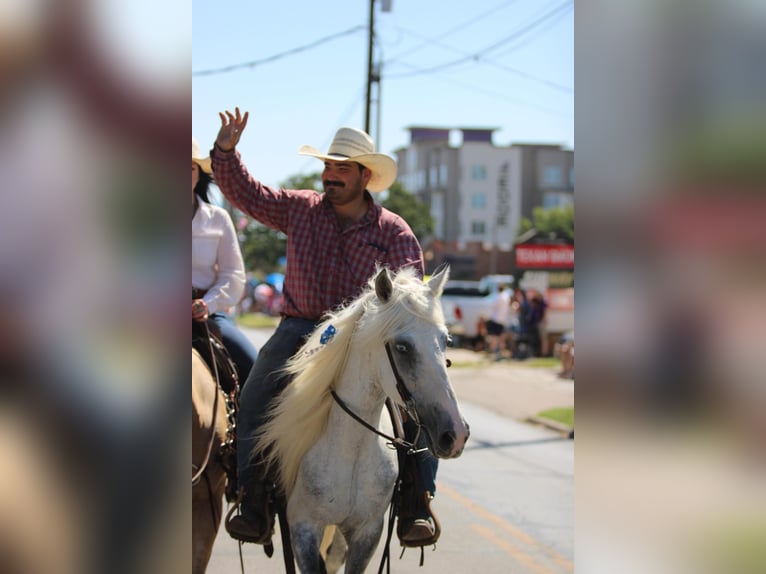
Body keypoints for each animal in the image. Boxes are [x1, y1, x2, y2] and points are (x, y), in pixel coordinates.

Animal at [256, 268, 468, 572]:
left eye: (445, 341)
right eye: (402, 347)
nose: (456, 434)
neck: (350, 449)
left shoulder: (368, 533)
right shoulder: (303, 529)